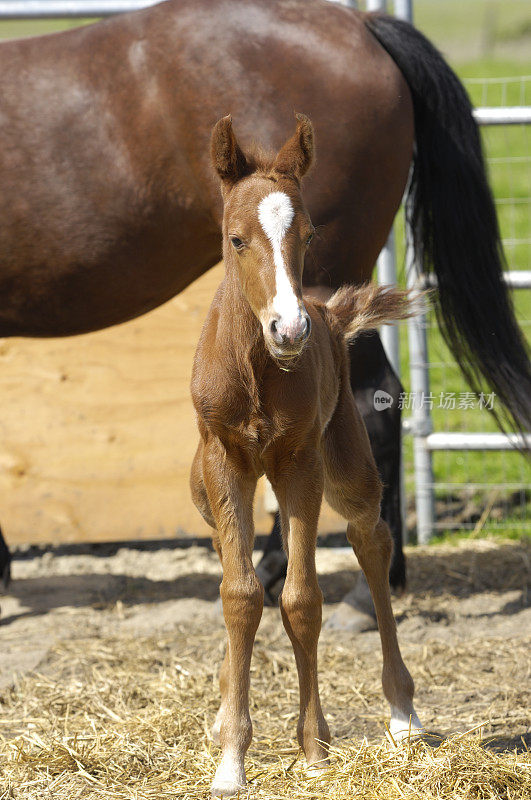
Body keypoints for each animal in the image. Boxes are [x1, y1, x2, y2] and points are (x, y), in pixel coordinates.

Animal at [1, 0, 531, 624]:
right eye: (235, 239)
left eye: (302, 234)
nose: (288, 328)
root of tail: (362, 27)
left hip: (332, 286)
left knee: (371, 403)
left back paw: (353, 590)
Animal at [191, 115, 424, 796]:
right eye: (236, 238)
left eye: (310, 233)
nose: (290, 330)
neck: (257, 370)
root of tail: (327, 310)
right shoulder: (224, 463)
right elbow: (239, 595)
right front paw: (231, 758)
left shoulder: (300, 464)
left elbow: (301, 599)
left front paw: (315, 749)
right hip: (204, 488)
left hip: (345, 467)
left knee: (372, 539)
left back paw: (402, 713)